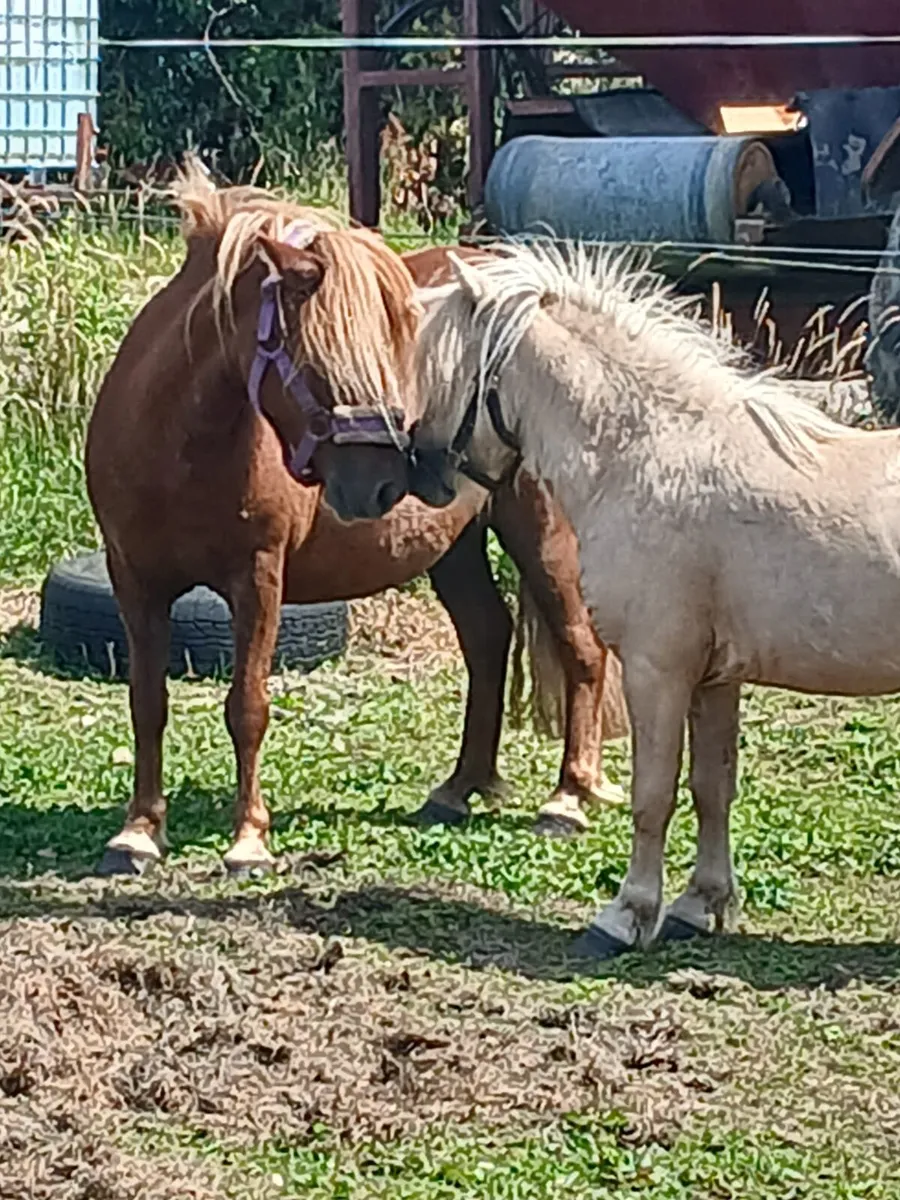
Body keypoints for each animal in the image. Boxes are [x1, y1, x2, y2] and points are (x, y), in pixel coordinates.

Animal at [84, 163, 629, 877]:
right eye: (320, 359)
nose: (382, 481)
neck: (174, 448)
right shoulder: (134, 580)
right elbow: (147, 703)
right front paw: (139, 833)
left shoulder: (257, 579)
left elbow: (247, 707)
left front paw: (249, 841)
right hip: (453, 545)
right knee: (488, 638)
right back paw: (458, 790)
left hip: (542, 534)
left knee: (582, 649)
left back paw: (568, 798)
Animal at [322, 238, 900, 959]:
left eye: (439, 369)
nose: (413, 477)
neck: (654, 455)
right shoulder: (715, 677)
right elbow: (713, 788)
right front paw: (699, 906)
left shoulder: (658, 669)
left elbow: (653, 796)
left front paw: (626, 915)